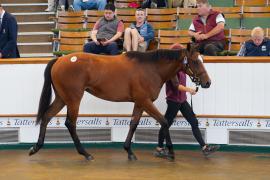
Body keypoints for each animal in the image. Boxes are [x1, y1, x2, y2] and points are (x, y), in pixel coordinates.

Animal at [29, 44, 211, 161]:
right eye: (196, 61)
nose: (207, 83)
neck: (151, 68)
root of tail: (59, 60)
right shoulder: (145, 101)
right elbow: (164, 121)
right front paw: (171, 152)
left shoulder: (139, 103)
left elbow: (133, 124)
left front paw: (129, 151)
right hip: (73, 99)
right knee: (70, 123)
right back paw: (85, 153)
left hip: (62, 98)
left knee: (46, 116)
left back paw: (36, 148)